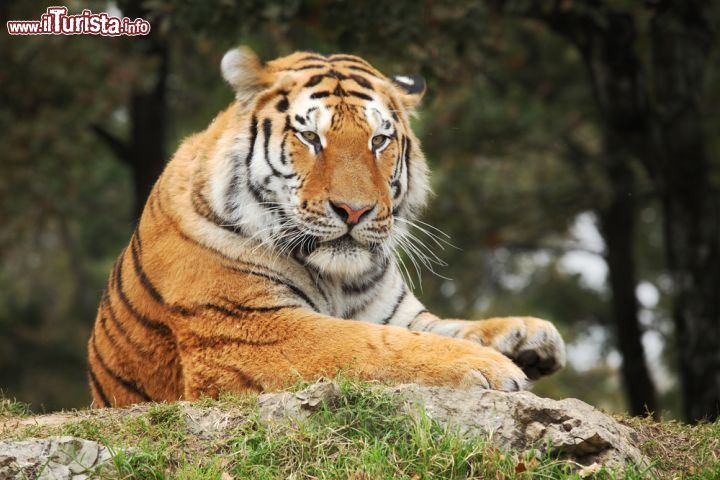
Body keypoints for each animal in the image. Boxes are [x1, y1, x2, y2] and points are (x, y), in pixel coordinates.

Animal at [87, 47, 564, 406]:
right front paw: (489, 366)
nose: (354, 211)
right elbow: (372, 342)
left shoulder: (398, 313)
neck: (338, 278)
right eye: (311, 138)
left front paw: (529, 336)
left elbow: (445, 326)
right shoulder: (252, 329)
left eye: (378, 141)